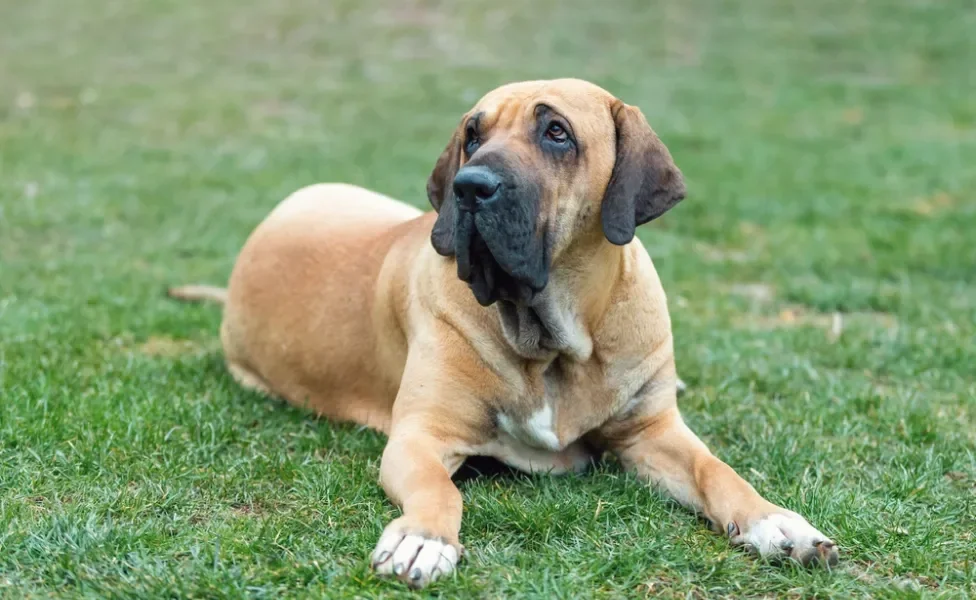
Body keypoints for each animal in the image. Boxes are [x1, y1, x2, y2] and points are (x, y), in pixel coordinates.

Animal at [170, 77, 840, 588]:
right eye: (473, 135)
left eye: (557, 132)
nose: (469, 187)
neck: (555, 340)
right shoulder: (419, 437)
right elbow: (441, 490)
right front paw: (423, 538)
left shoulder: (652, 432)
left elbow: (717, 470)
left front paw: (777, 523)